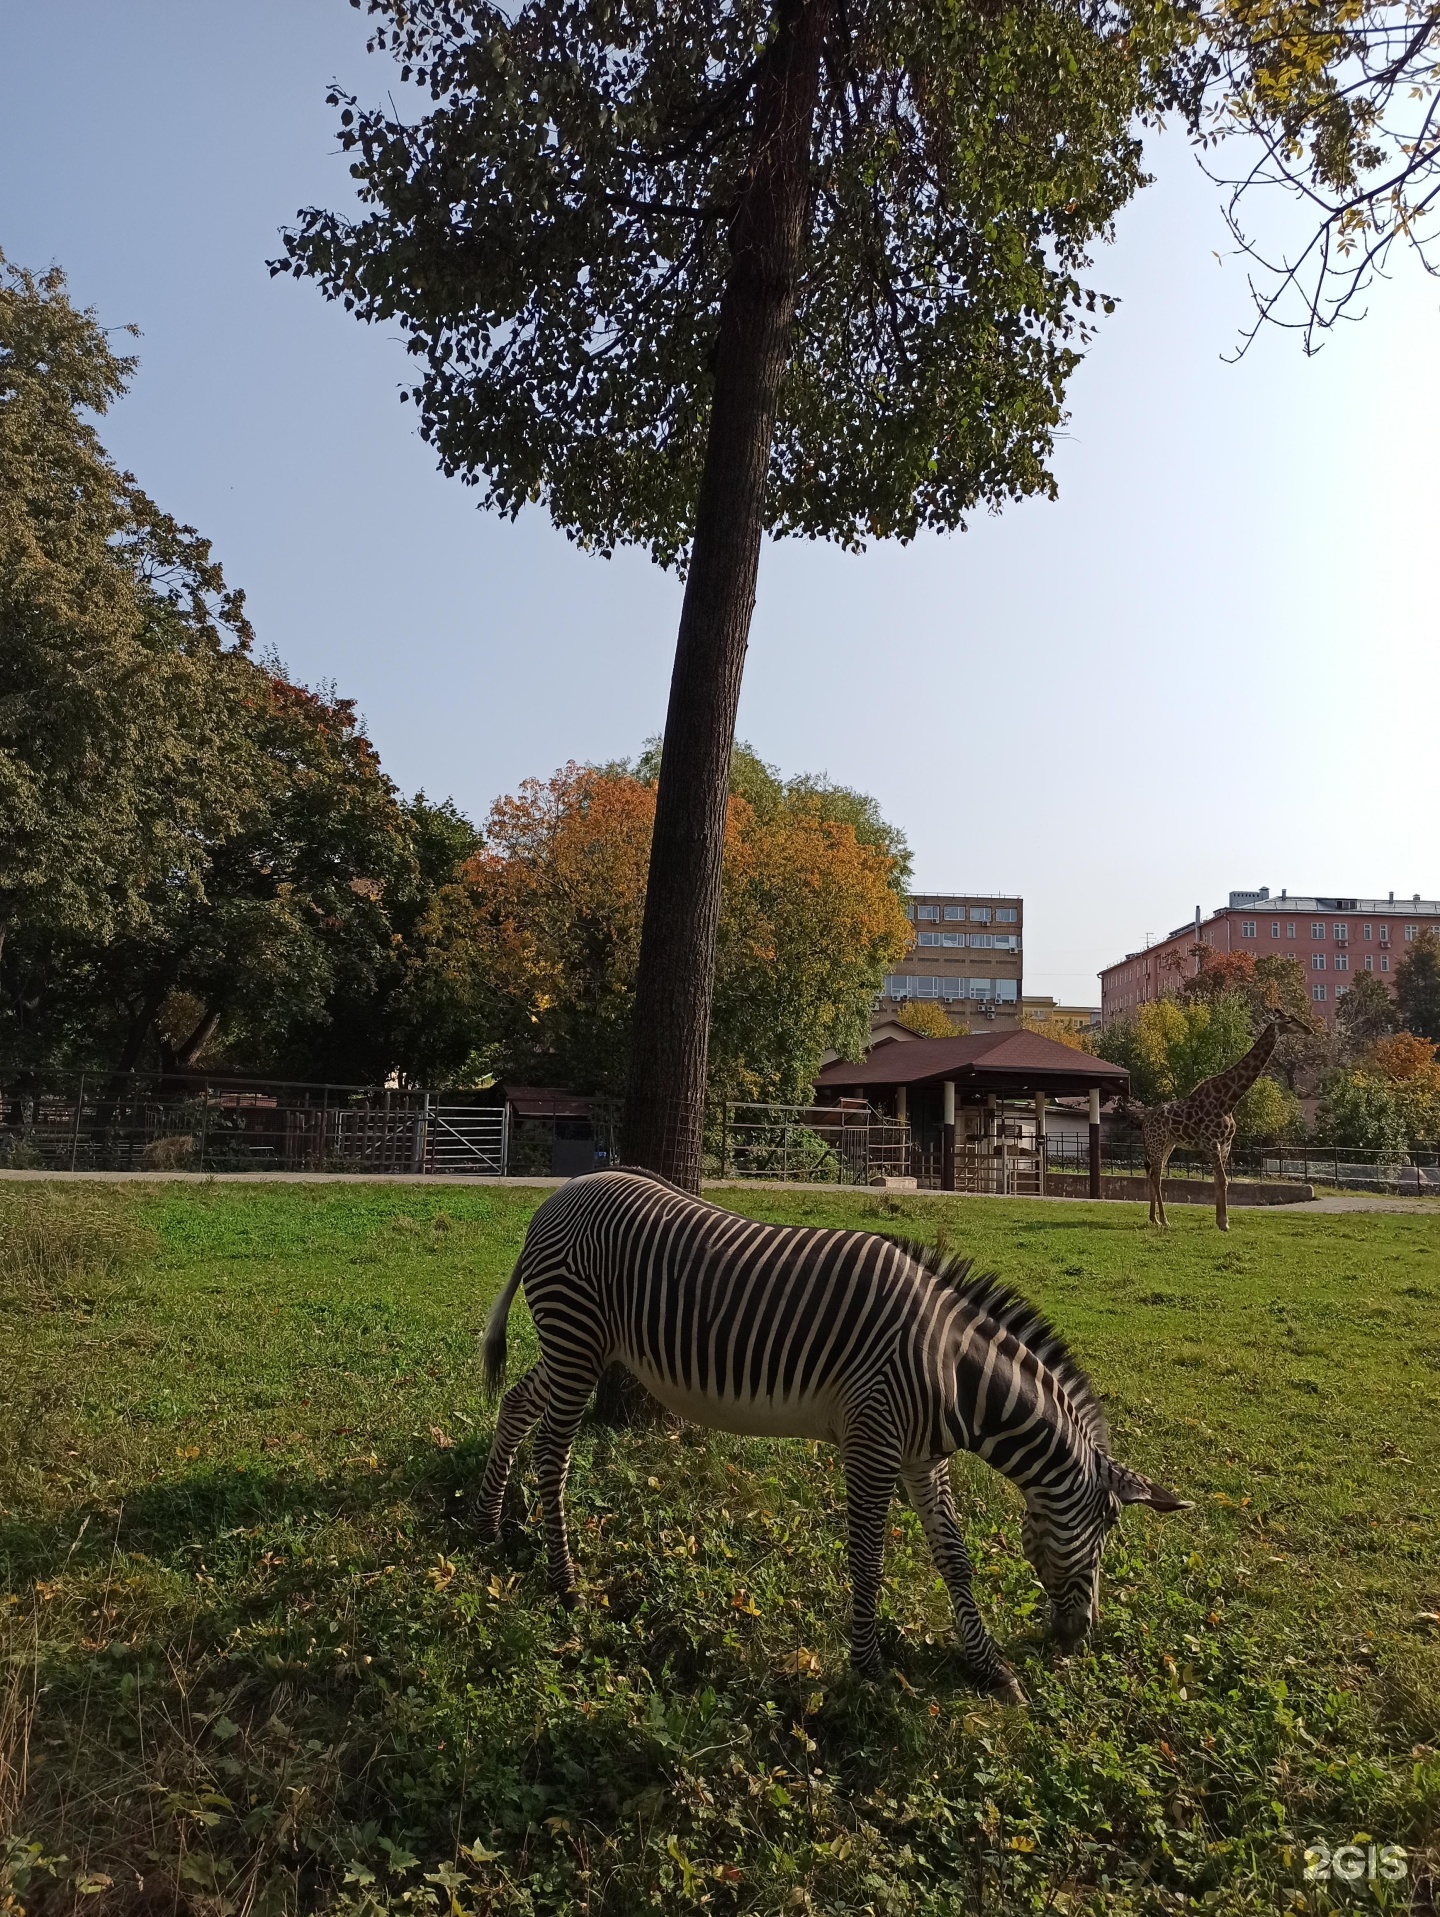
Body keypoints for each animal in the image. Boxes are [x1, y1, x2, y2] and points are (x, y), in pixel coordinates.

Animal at [479, 1165, 1188, 1694]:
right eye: (1110, 1525)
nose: (1077, 1639)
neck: (954, 1372)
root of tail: (559, 1196)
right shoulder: (872, 1444)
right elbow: (868, 1559)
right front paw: (868, 1668)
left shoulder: (922, 1457)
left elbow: (955, 1559)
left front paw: (990, 1669)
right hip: (577, 1338)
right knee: (552, 1452)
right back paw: (564, 1582)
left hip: (581, 1348)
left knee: (515, 1405)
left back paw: (486, 1531)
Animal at [1127, 1012, 1319, 1234]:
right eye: (1288, 1021)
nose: (1308, 1029)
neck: (1228, 1100)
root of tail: (1145, 1122)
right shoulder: (1212, 1142)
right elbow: (1222, 1180)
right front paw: (1223, 1222)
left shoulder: (1226, 1143)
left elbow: (1220, 1181)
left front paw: (1221, 1220)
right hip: (1157, 1143)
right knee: (1156, 1176)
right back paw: (1164, 1220)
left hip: (1169, 1144)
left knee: (1153, 1175)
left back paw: (1154, 1219)